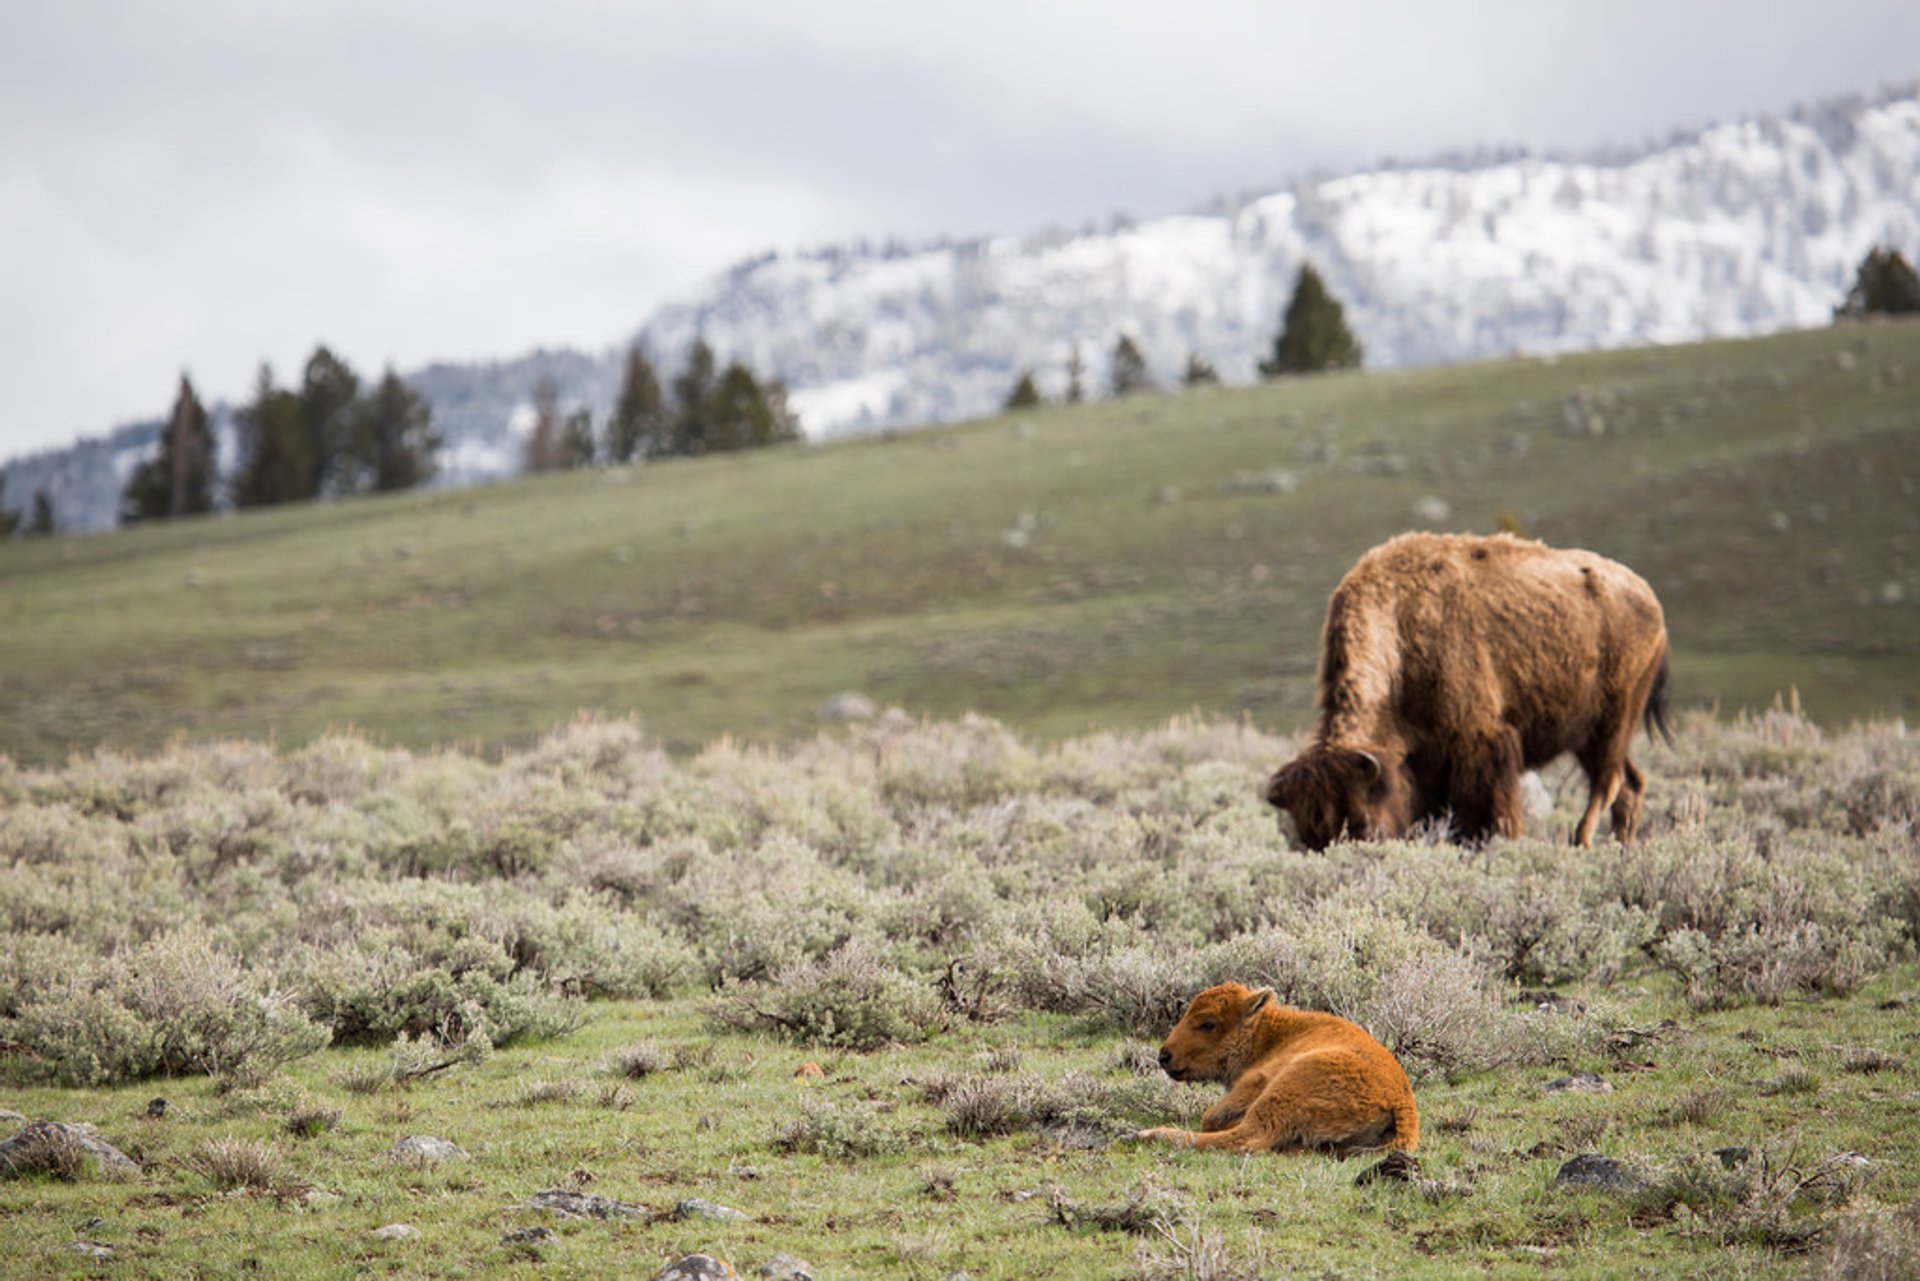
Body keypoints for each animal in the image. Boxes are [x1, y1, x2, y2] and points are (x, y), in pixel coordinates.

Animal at [1128, 990, 1420, 1160]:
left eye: (1208, 1023)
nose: (1164, 1056)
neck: (1267, 1035)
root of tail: (1401, 1102)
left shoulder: (1255, 1080)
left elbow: (1209, 1117)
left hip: (1285, 1086)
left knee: (1242, 1138)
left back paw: (1146, 1134)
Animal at [1259, 530, 1666, 852]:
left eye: (1360, 821)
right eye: (1304, 835)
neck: (1399, 630)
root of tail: (1648, 596)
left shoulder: (1480, 741)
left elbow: (1489, 810)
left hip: (1612, 721)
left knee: (1608, 782)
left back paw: (1581, 842)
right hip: (1587, 736)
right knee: (1630, 785)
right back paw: (1619, 847)